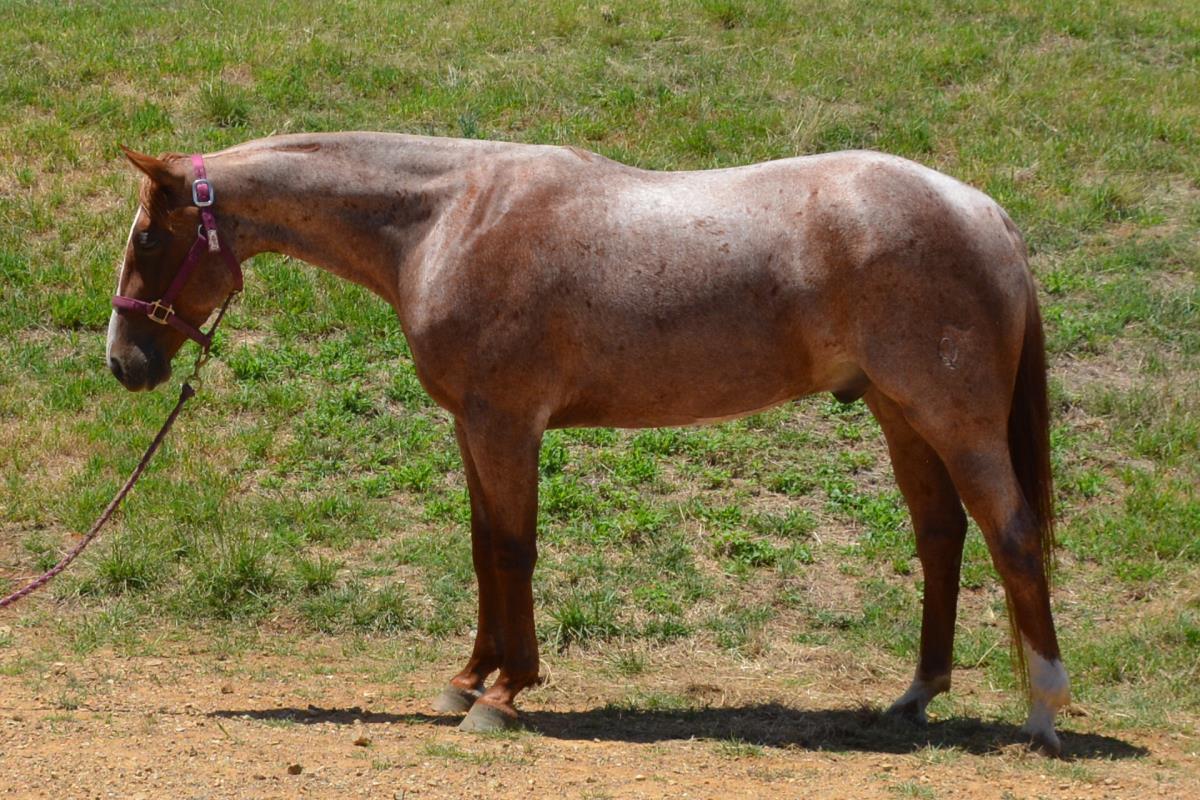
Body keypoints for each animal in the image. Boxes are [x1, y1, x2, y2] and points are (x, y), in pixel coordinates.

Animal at [106, 133, 1069, 755]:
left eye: (150, 237)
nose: (124, 362)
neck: (446, 221)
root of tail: (984, 212)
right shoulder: (473, 425)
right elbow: (482, 549)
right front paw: (471, 676)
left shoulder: (505, 423)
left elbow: (512, 548)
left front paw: (503, 696)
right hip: (899, 412)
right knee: (941, 535)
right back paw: (914, 698)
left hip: (954, 418)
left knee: (1013, 533)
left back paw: (1044, 712)